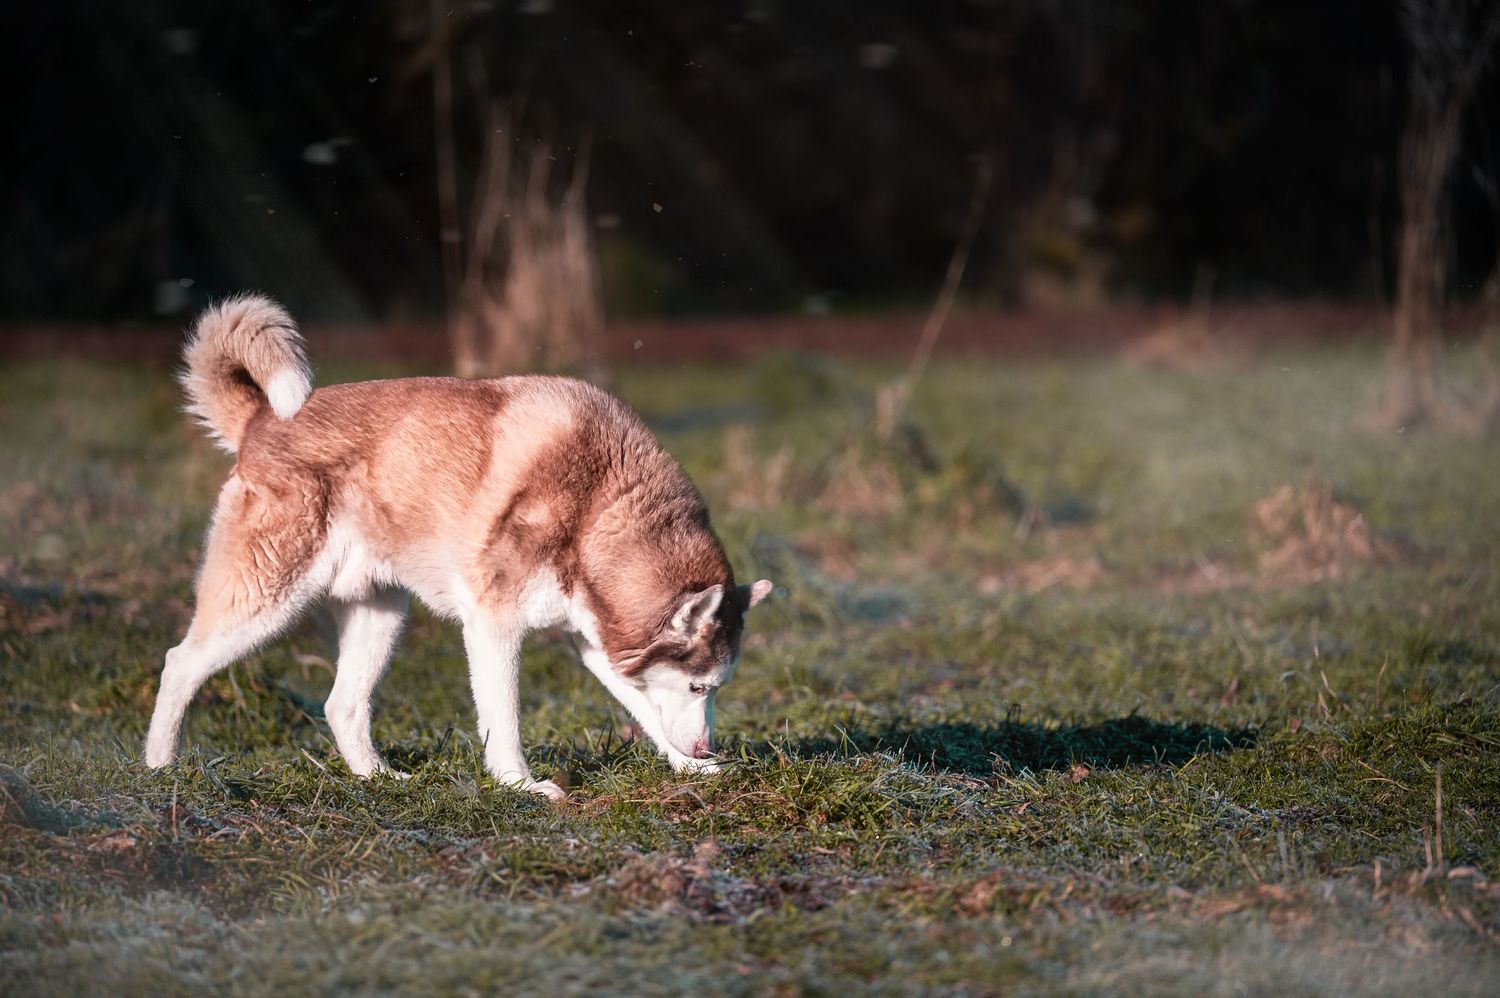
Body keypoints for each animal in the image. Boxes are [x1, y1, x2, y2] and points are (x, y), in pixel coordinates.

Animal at [144, 294, 773, 799]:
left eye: (717, 688)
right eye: (699, 685)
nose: (705, 749)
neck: (601, 507)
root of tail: (259, 422)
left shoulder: (600, 644)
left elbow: (645, 711)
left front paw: (691, 773)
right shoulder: (493, 626)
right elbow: (505, 718)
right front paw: (520, 785)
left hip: (381, 617)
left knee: (341, 705)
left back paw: (379, 778)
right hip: (265, 602)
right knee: (178, 664)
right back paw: (161, 769)